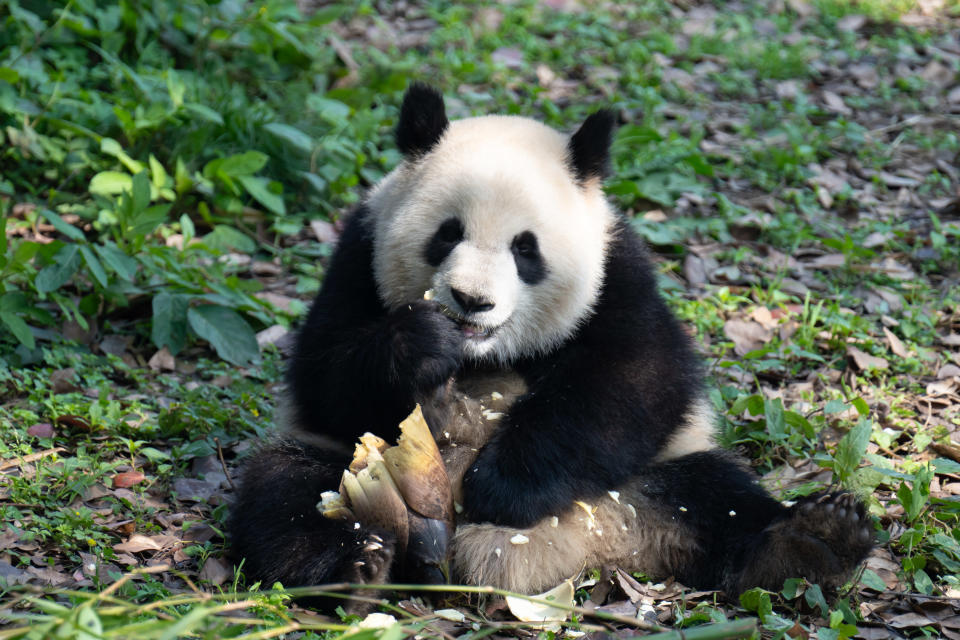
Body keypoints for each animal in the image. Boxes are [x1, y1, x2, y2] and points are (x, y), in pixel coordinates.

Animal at [229, 85, 872, 604]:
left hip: (657, 473)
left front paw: (500, 488)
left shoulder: (617, 272)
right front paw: (419, 345)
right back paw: (358, 567)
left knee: (719, 498)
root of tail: (587, 546)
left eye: (525, 248)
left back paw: (815, 539)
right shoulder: (358, 253)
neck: (484, 352)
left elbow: (635, 380)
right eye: (447, 234)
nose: (471, 300)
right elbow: (324, 375)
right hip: (346, 468)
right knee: (284, 495)